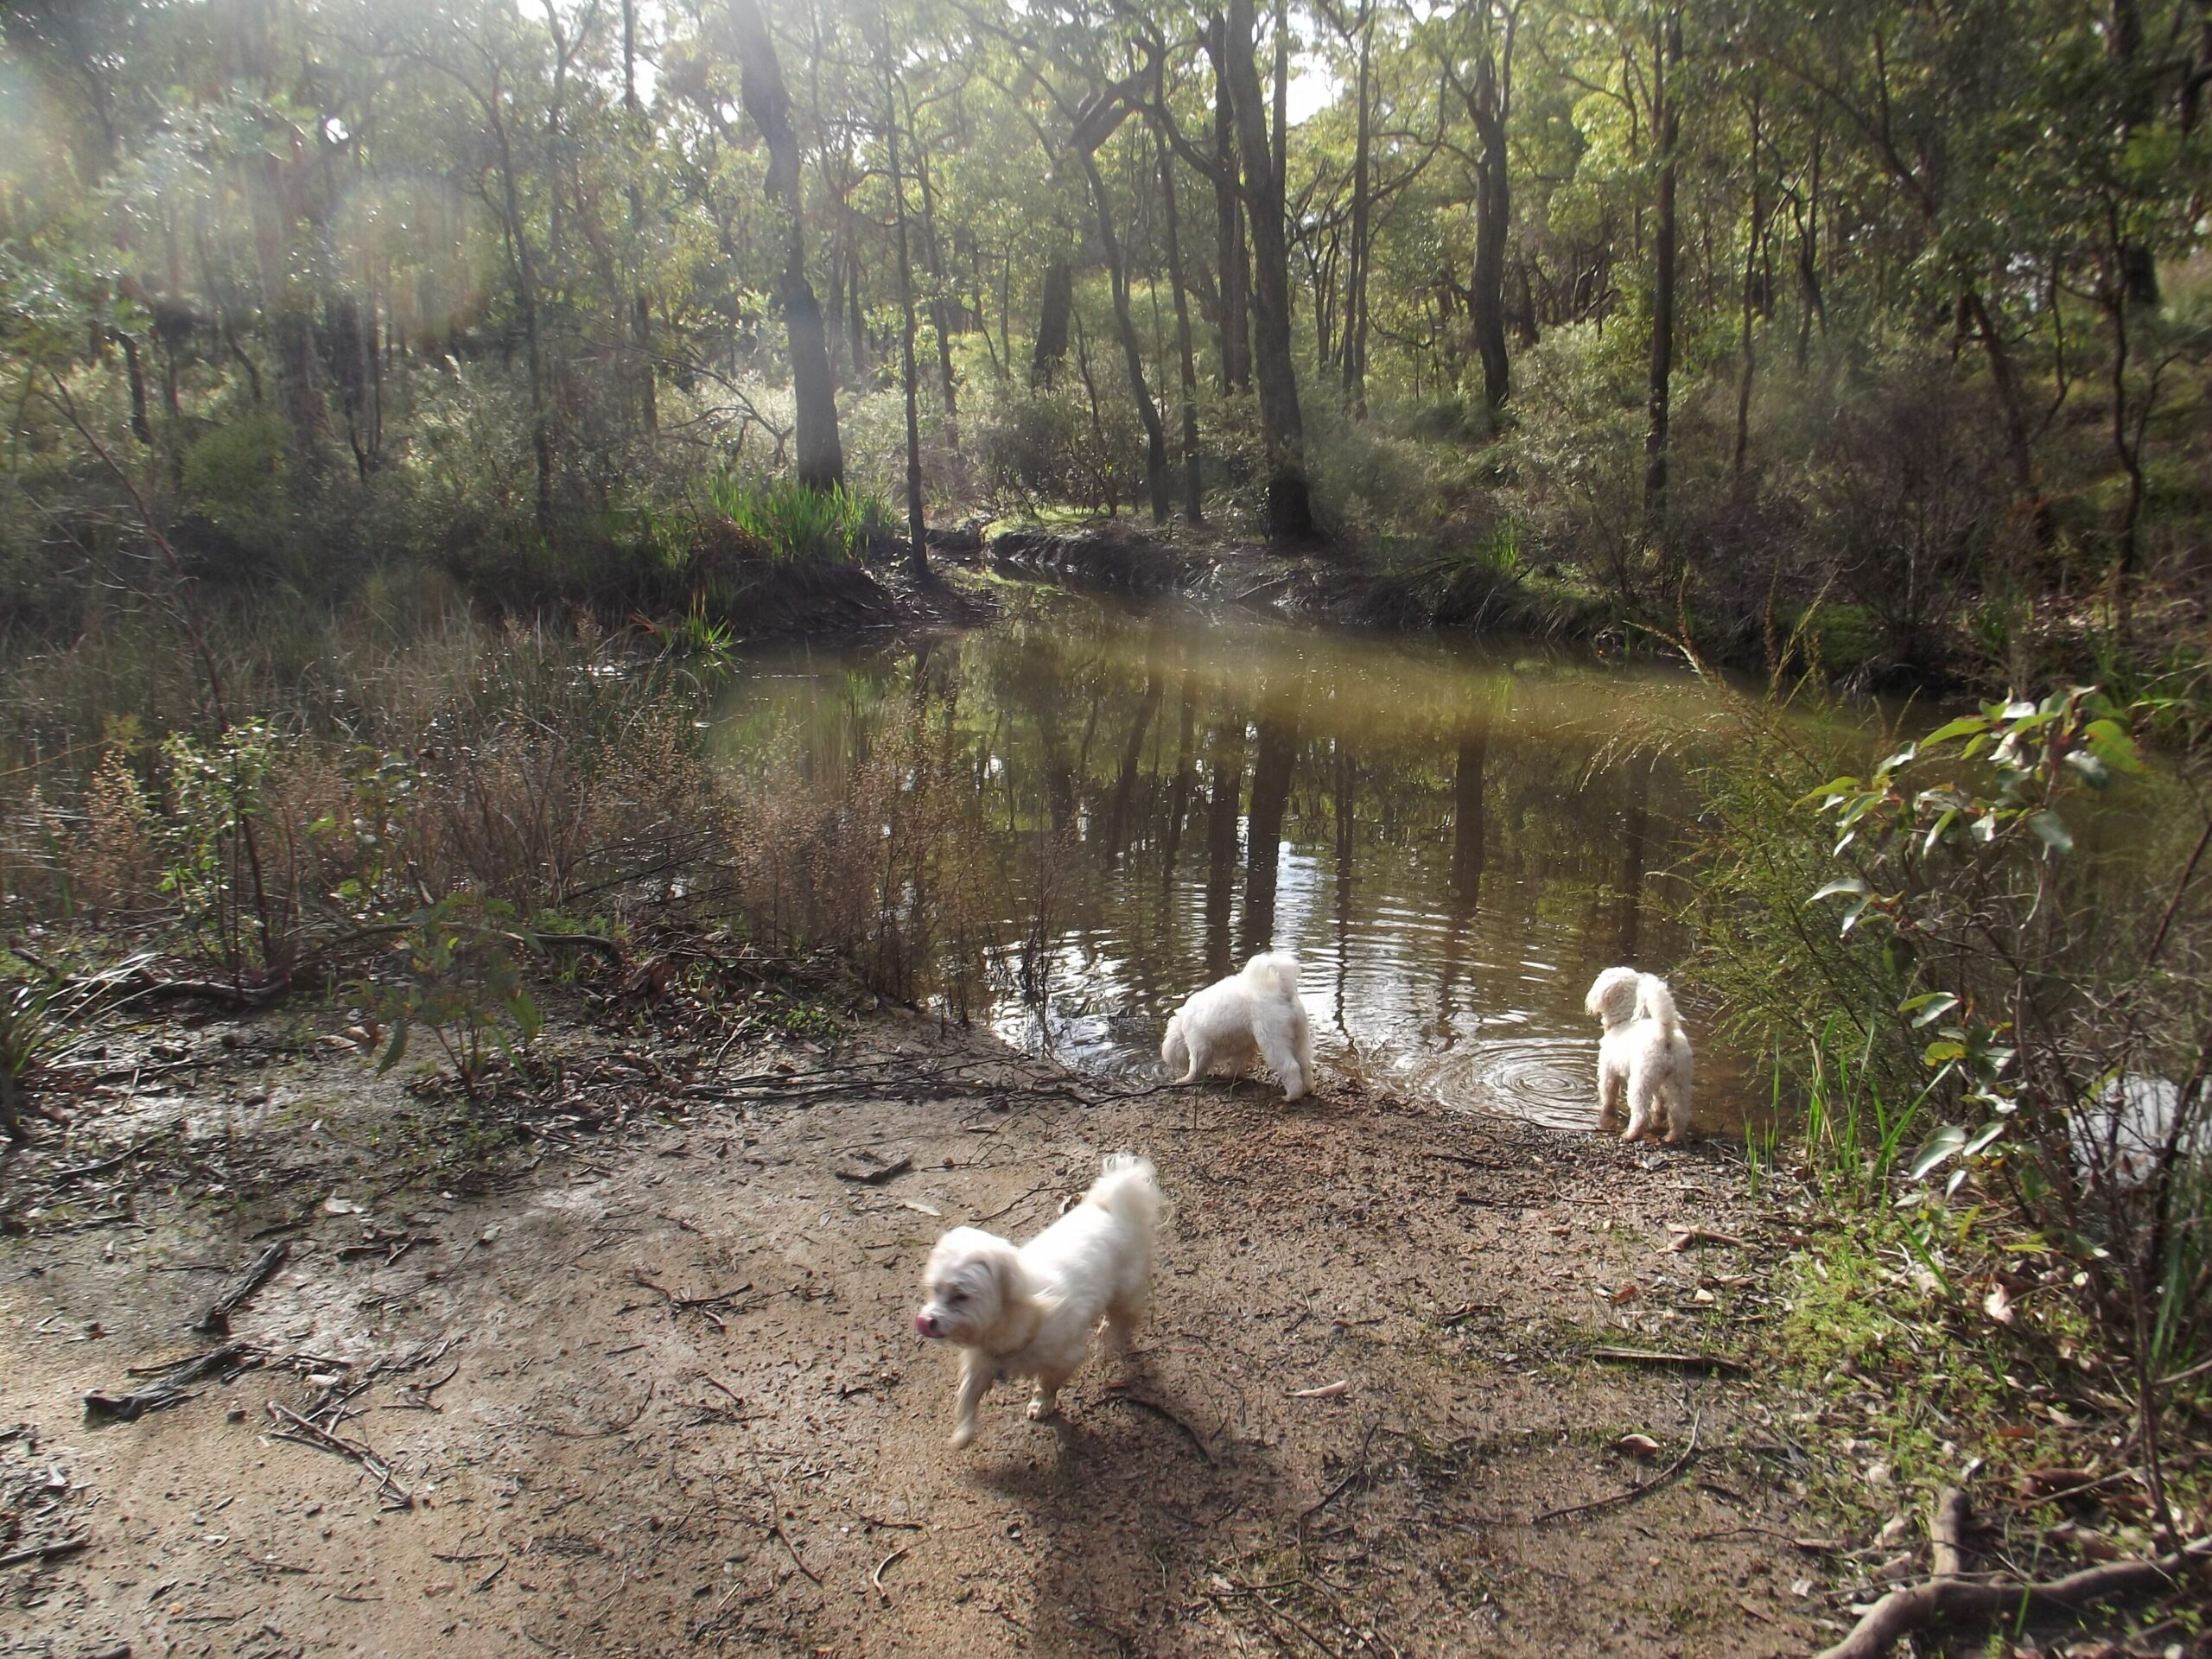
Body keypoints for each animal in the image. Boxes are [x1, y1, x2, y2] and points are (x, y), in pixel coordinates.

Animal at [911, 1159, 1167, 1451]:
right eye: (935, 1290)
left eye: (960, 1296)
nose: (926, 1321)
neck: (1023, 1313)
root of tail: (1111, 1204)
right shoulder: (981, 1360)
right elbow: (967, 1395)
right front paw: (963, 1434)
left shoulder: (1064, 1358)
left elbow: (1048, 1382)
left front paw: (1042, 1403)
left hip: (1124, 1291)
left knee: (1122, 1318)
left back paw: (1111, 1336)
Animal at [1159, 946, 1309, 1106]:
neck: (1182, 1024)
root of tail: (1283, 993)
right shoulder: (1243, 1047)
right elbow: (1237, 1064)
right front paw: (1230, 1075)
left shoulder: (1198, 1044)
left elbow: (1196, 1066)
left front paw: (1187, 1079)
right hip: (1300, 1038)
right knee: (1305, 1064)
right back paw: (1308, 1088)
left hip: (1273, 1041)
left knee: (1291, 1067)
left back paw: (1291, 1096)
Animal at [1592, 969, 1689, 1150]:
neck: (1622, 1023)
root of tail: (1665, 1036)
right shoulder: (1660, 1084)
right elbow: (1658, 1105)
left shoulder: (1608, 1072)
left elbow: (1608, 1096)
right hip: (1678, 1081)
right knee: (1679, 1114)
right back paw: (1672, 1137)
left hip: (1640, 1082)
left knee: (1641, 1114)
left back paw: (1631, 1135)